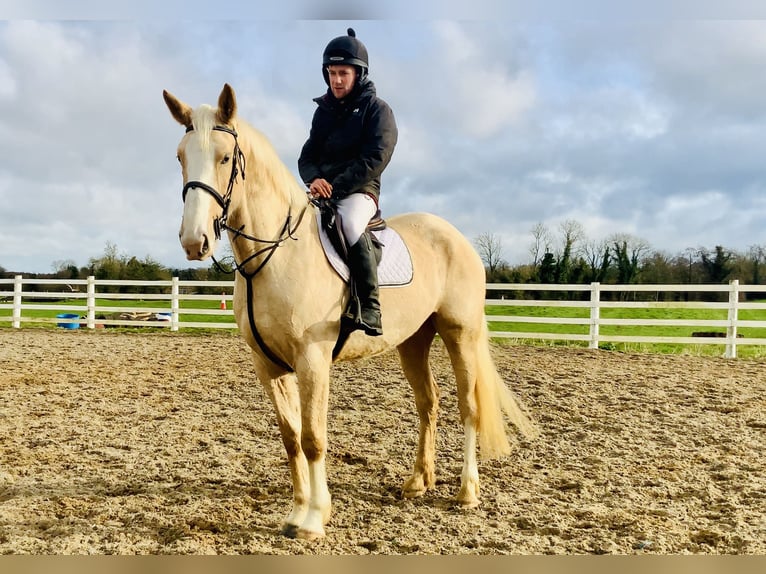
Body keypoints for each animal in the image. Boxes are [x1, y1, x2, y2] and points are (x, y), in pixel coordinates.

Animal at [162, 83, 537, 540]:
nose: (193, 241)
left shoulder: (312, 361)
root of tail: (456, 236)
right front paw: (296, 512)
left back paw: (467, 491)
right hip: (413, 341)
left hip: (459, 334)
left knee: (468, 406)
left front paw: (314, 518)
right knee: (428, 403)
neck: (275, 256)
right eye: (180, 157)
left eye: (224, 158)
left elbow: (313, 438)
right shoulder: (267, 366)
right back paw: (418, 482)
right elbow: (290, 437)